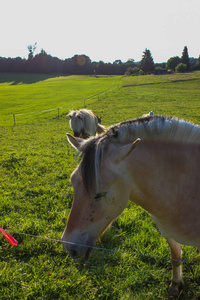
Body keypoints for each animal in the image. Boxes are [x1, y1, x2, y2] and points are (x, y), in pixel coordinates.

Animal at [61, 115, 200, 298]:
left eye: (100, 193)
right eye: (72, 181)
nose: (69, 246)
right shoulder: (169, 233)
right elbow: (175, 256)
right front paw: (176, 285)